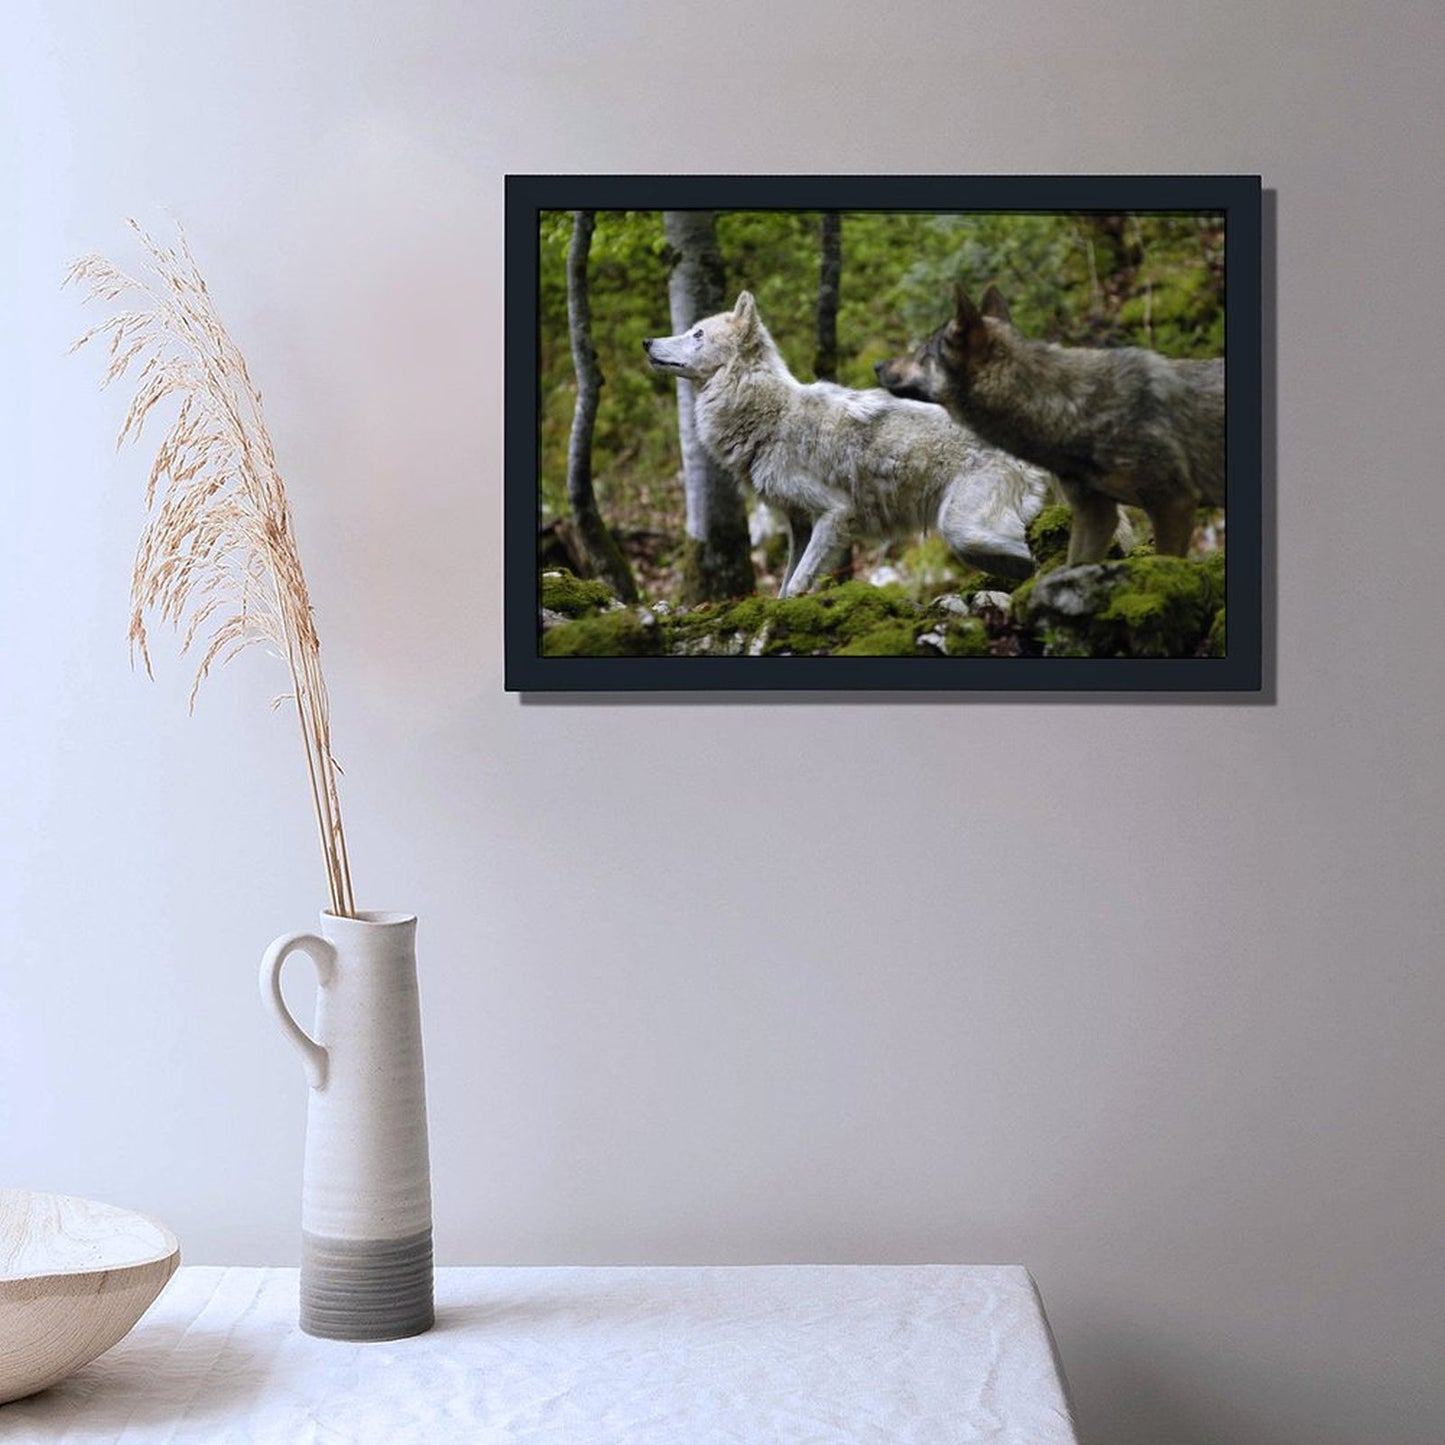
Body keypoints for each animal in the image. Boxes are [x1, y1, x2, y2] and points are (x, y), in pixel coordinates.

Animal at [642, 291, 1055, 597]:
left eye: (698, 335)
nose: (647, 341)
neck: (770, 413)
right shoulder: (799, 525)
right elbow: (784, 585)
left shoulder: (834, 513)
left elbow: (796, 585)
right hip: (974, 548)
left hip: (963, 532)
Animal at [875, 286, 1224, 566]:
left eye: (922, 354)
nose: (877, 365)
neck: (1067, 406)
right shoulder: (1094, 515)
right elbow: (1076, 567)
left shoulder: (1174, 504)